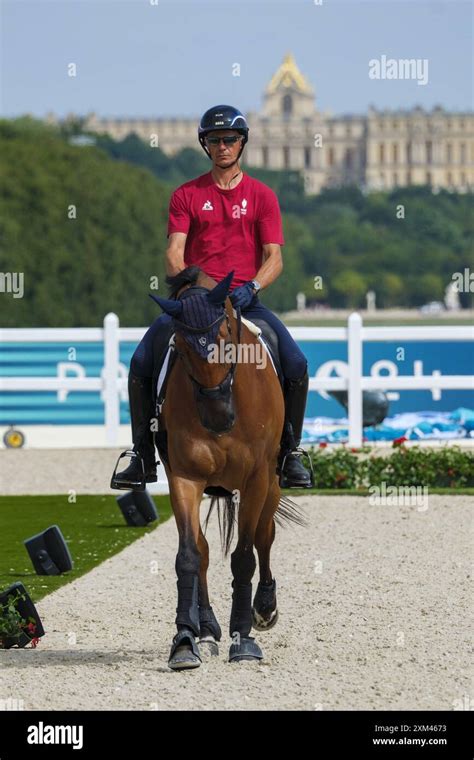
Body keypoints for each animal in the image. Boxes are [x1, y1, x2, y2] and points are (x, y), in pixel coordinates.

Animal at [150, 268, 302, 672]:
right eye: (179, 347)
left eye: (224, 339)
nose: (219, 416)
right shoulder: (184, 477)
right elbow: (189, 555)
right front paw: (185, 641)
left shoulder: (256, 480)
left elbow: (245, 557)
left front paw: (244, 638)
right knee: (203, 549)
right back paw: (206, 628)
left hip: (272, 484)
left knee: (265, 537)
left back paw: (264, 609)